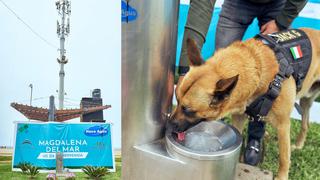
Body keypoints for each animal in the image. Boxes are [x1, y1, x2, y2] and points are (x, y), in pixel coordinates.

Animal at [171, 27, 320, 179]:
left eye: (188, 110)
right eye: (177, 99)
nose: (168, 125)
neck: (259, 70)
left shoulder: (283, 125)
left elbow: (284, 157)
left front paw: (281, 177)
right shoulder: (239, 117)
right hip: (305, 102)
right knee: (306, 124)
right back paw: (299, 144)